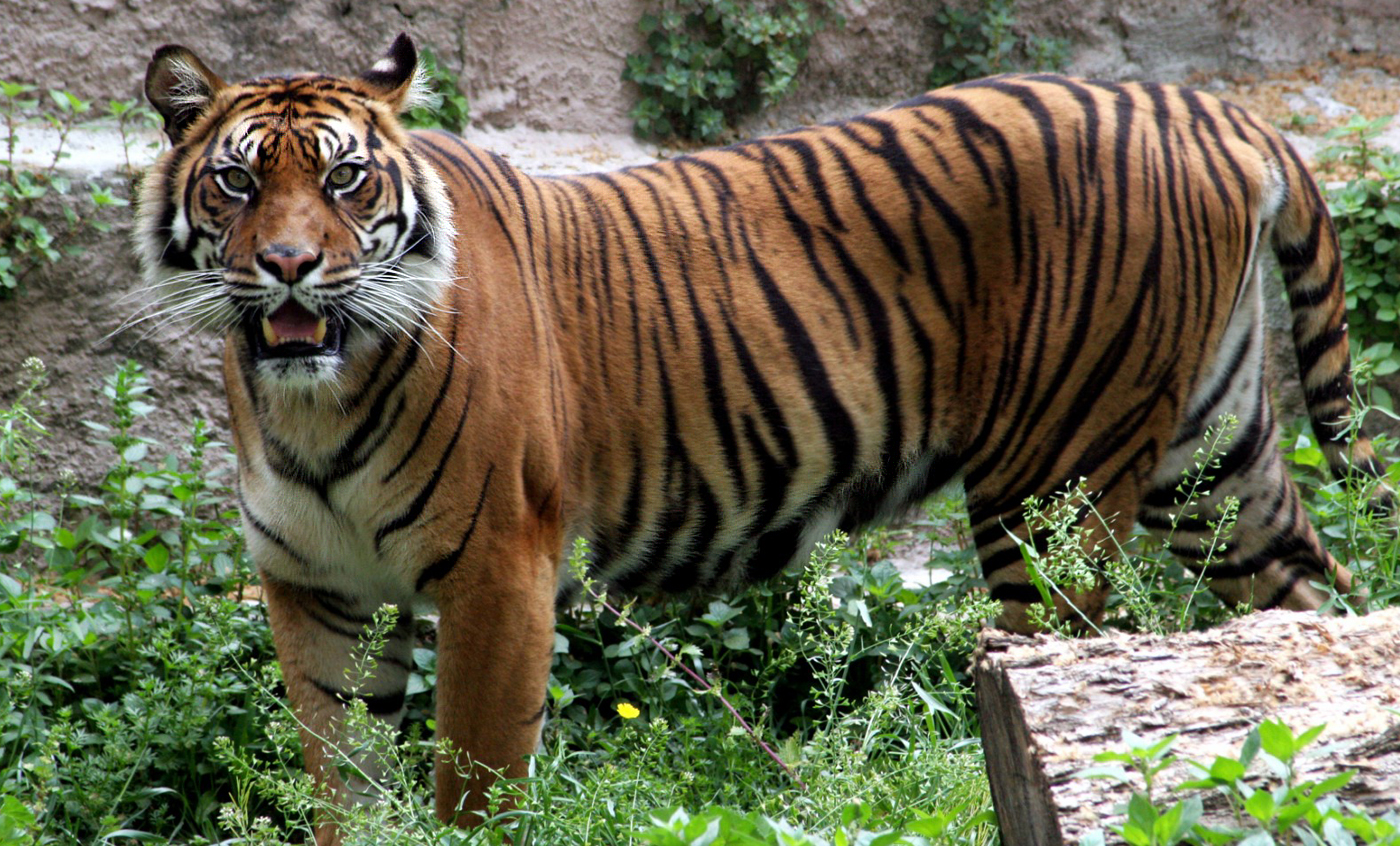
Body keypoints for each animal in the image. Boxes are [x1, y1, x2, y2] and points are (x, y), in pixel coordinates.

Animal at [136, 33, 1383, 846]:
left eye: (346, 178)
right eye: (237, 182)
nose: (288, 265)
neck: (311, 394)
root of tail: (1204, 108)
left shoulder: (496, 570)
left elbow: (473, 786)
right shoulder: (319, 588)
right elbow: (342, 780)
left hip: (1053, 494)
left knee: (1071, 659)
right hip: (1209, 472)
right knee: (1310, 611)